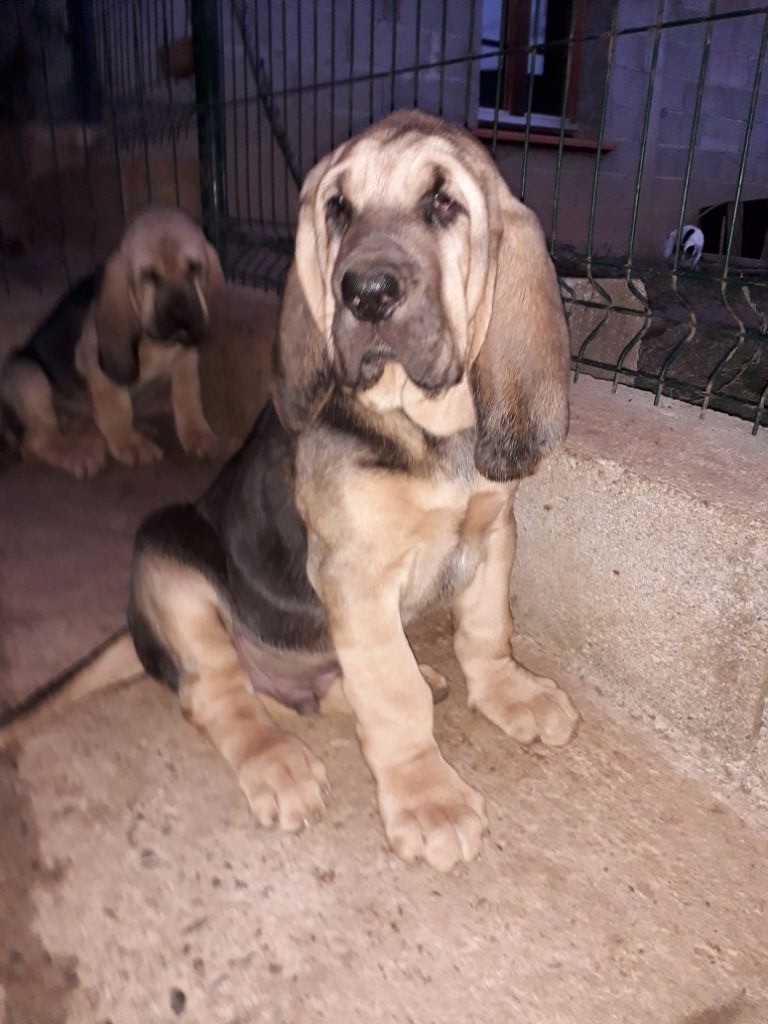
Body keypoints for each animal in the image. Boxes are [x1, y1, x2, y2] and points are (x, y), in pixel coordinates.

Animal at [0, 206, 229, 477]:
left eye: (194, 268)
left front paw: (197, 434)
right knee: (38, 442)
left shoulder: (186, 360)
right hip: (30, 377)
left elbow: (188, 398)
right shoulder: (99, 368)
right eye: (149, 276)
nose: (181, 319)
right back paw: (77, 454)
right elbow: (117, 409)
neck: (156, 342)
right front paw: (129, 443)